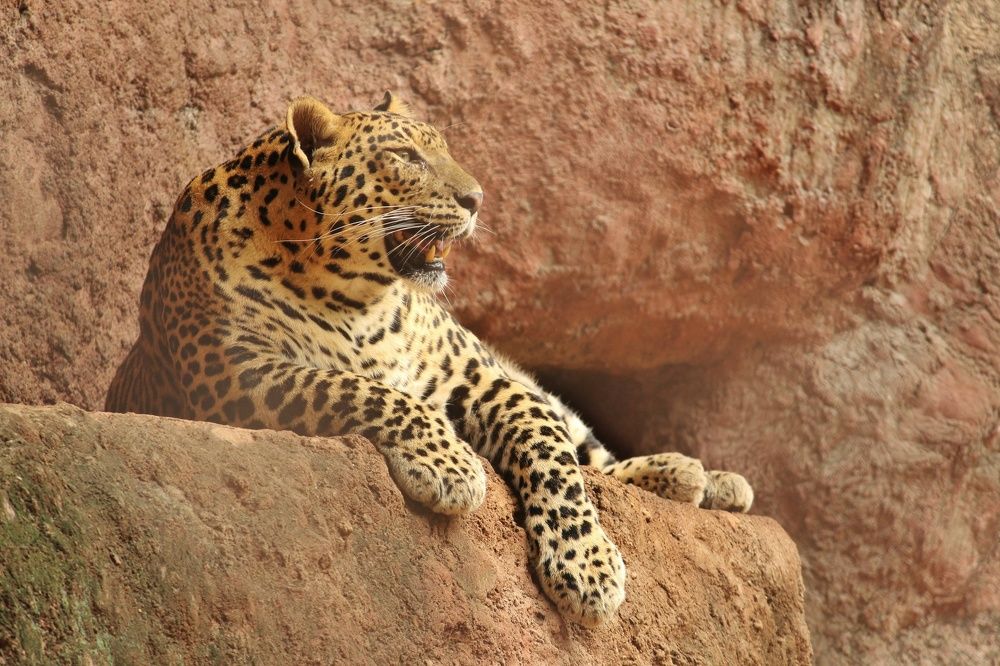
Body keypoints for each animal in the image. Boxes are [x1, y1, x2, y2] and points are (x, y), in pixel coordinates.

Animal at [106, 93, 754, 626]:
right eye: (405, 157)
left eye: (443, 150)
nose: (477, 199)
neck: (353, 297)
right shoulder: (233, 373)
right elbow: (363, 389)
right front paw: (452, 467)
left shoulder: (484, 380)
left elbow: (551, 451)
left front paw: (586, 565)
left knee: (588, 449)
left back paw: (702, 477)